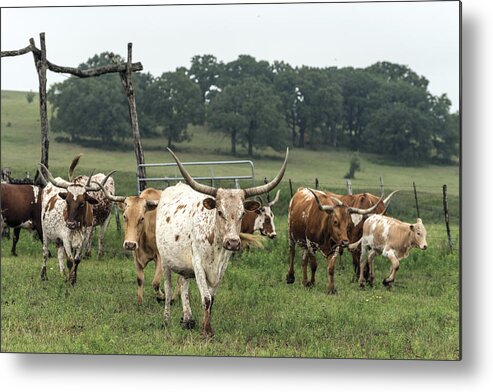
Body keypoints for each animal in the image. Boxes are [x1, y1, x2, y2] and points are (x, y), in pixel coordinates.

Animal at [157, 147, 288, 336]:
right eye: (219, 212)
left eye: (242, 213)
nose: (233, 243)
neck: (215, 241)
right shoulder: (198, 264)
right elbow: (206, 298)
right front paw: (206, 331)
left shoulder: (221, 267)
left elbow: (212, 299)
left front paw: (207, 327)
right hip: (165, 260)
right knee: (167, 289)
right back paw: (166, 319)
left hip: (184, 264)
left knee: (183, 283)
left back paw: (187, 319)